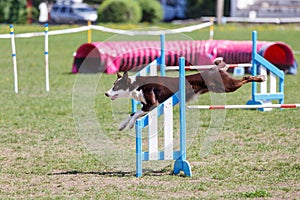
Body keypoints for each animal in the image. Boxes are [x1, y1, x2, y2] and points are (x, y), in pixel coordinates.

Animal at [105, 58, 264, 130]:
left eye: (116, 86)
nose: (106, 93)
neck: (136, 86)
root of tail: (216, 69)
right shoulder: (147, 106)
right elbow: (132, 113)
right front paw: (122, 125)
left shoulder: (152, 105)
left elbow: (135, 115)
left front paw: (131, 125)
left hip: (227, 86)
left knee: (244, 78)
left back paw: (261, 78)